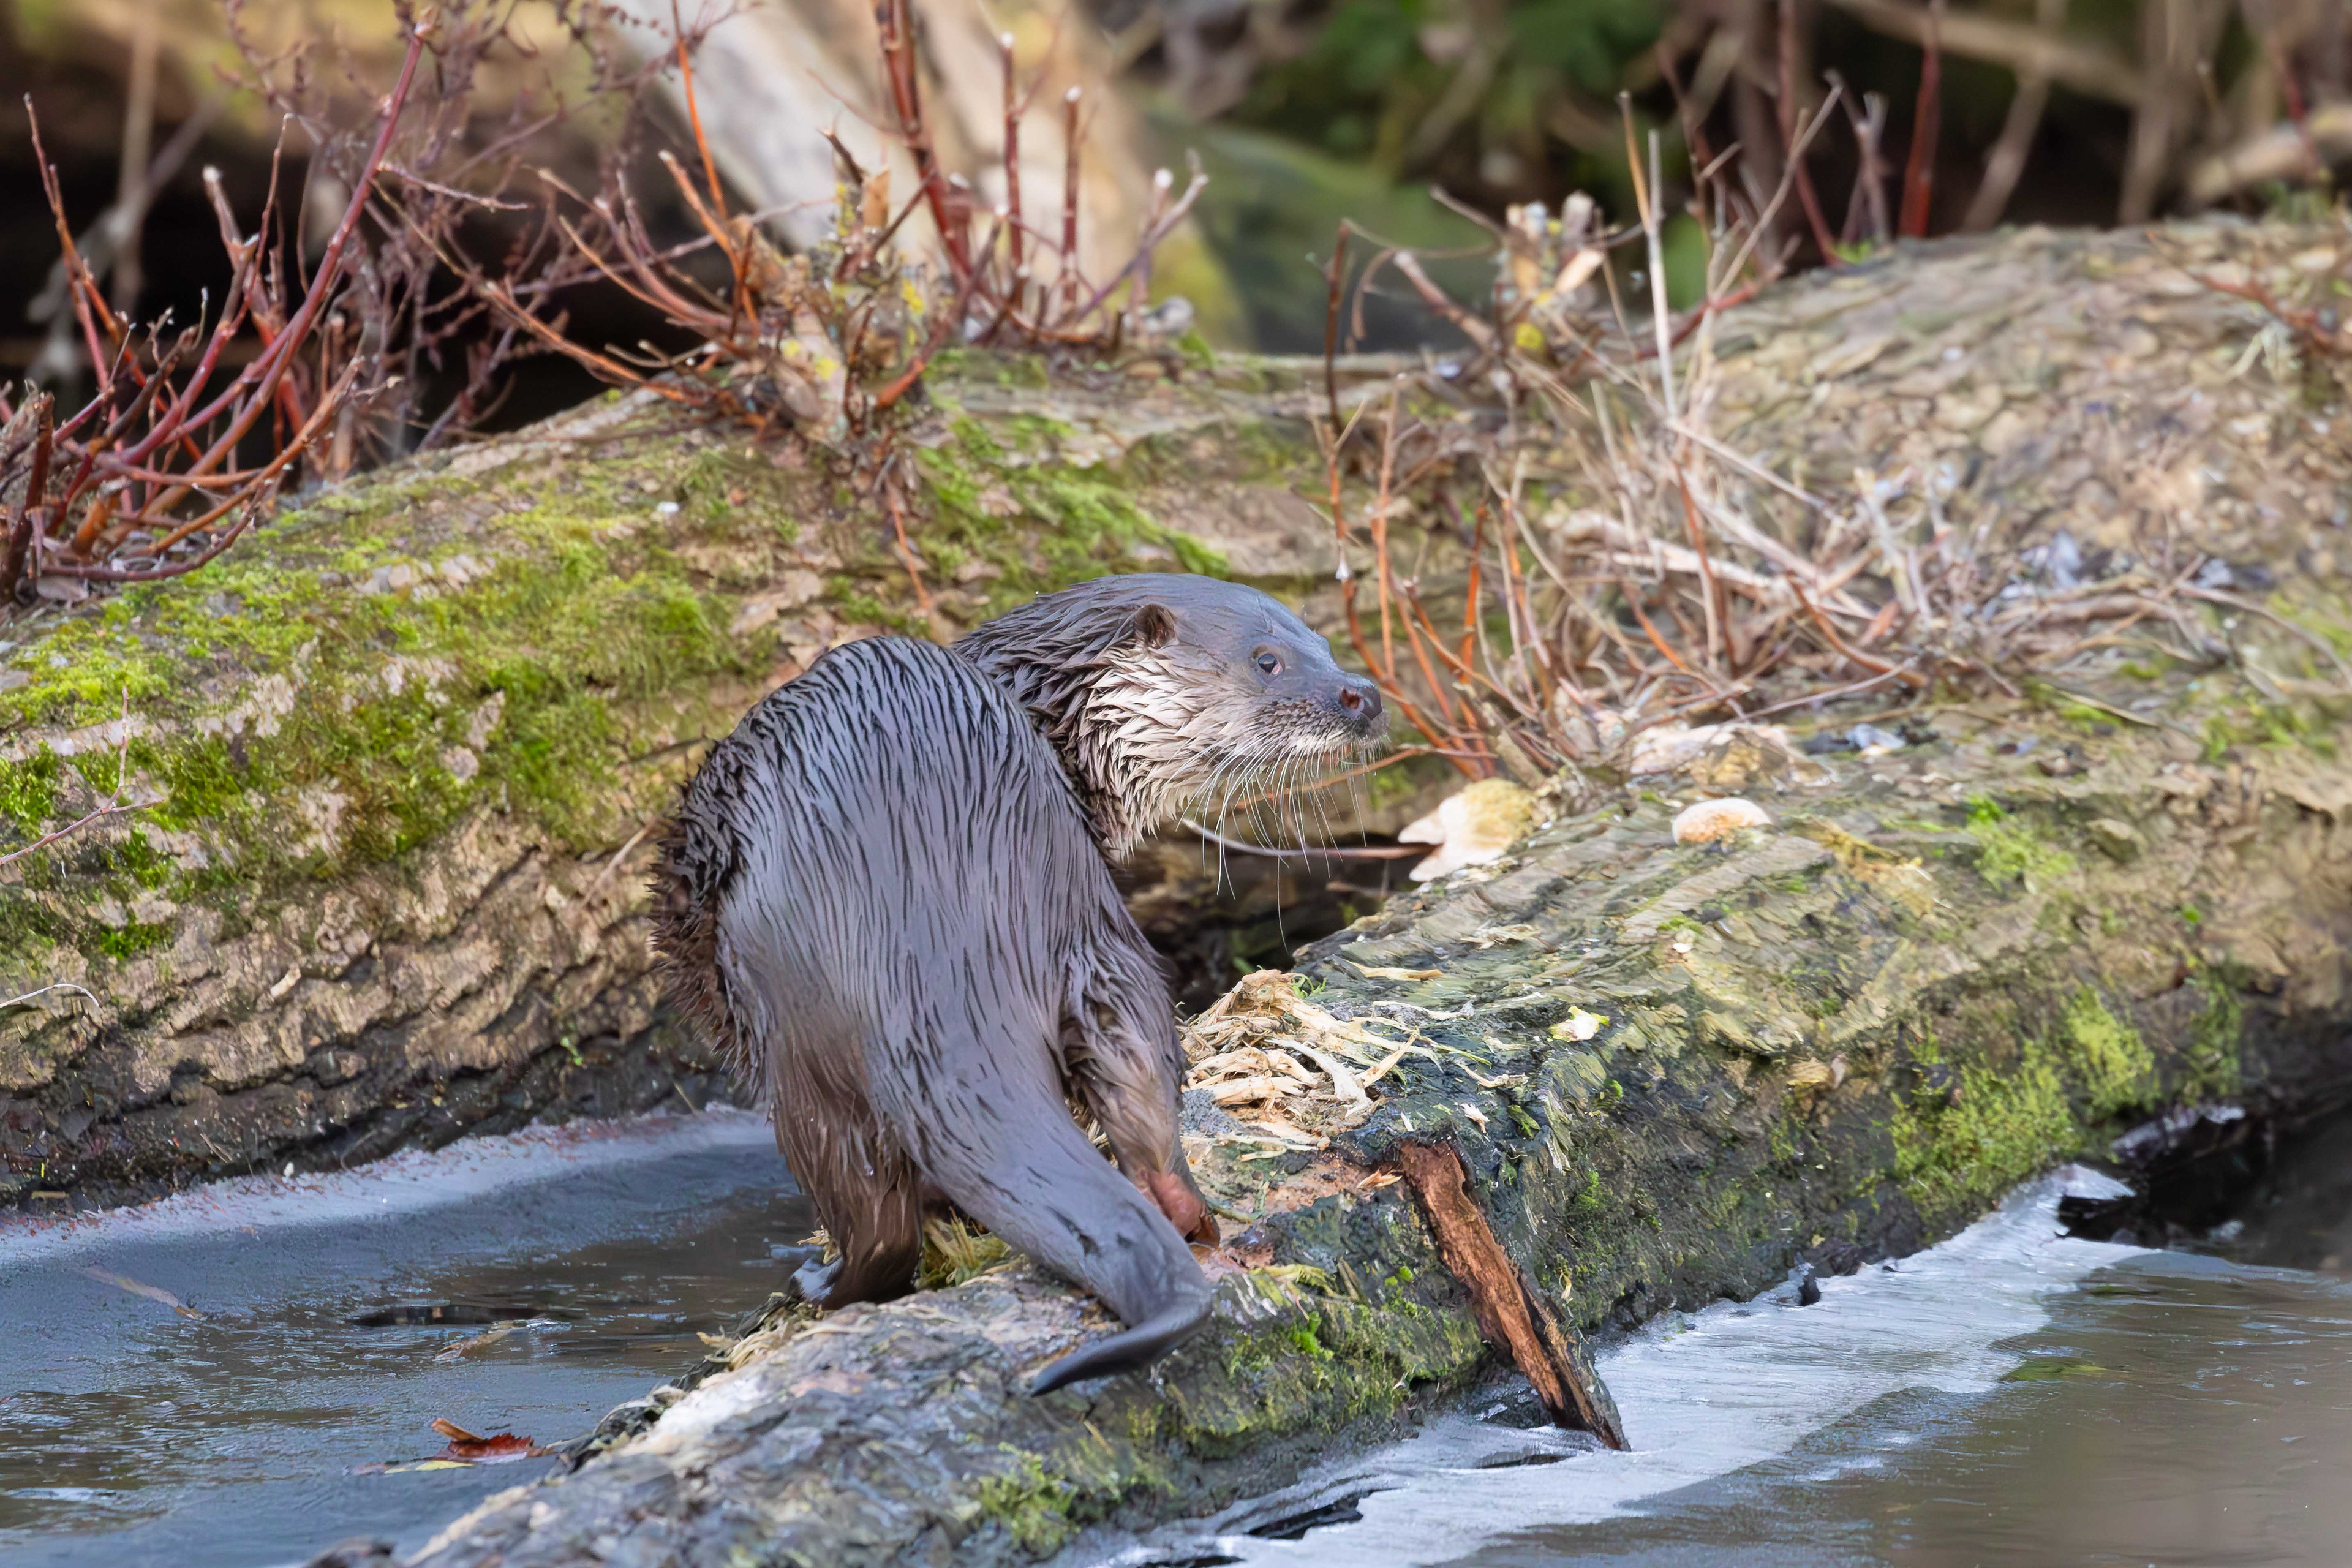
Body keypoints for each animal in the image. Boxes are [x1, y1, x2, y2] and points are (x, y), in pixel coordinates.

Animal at [654, 573, 1384, 1393]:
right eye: (1268, 659)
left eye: (1323, 643)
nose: (1362, 693)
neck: (1047, 720)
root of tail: (935, 957)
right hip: (1100, 946)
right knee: (1141, 1081)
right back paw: (1185, 1213)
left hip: (789, 1036)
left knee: (867, 1206)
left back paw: (826, 1283)